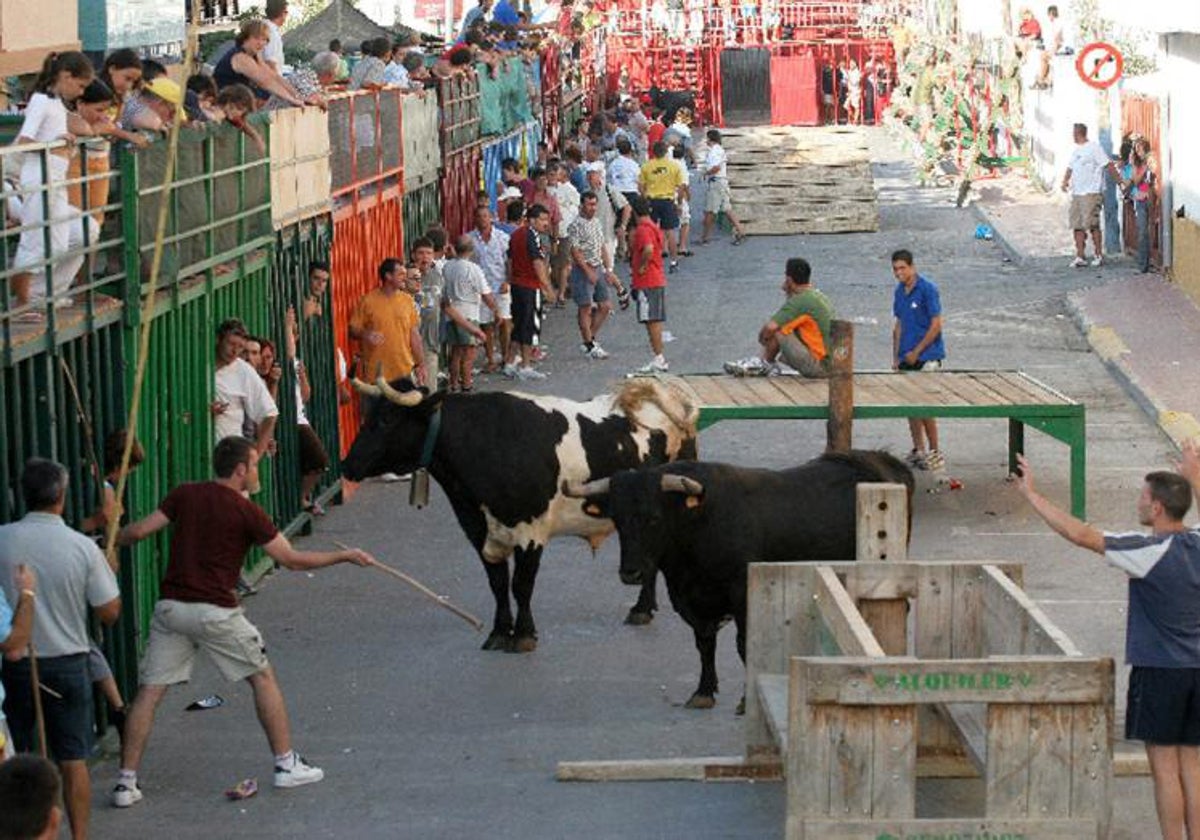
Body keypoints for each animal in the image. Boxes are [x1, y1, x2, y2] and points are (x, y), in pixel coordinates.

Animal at [338, 376, 700, 652]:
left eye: (387, 419)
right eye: (368, 416)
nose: (347, 464)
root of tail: (661, 388)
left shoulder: (531, 531)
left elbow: (521, 584)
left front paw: (524, 634)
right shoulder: (478, 531)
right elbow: (497, 583)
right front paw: (499, 632)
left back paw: (642, 607)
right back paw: (643, 609)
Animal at [566, 453, 912, 710]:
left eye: (653, 517)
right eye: (617, 519)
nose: (631, 573)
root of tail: (882, 461)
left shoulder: (742, 596)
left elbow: (744, 645)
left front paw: (746, 701)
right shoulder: (691, 601)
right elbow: (704, 643)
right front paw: (704, 691)